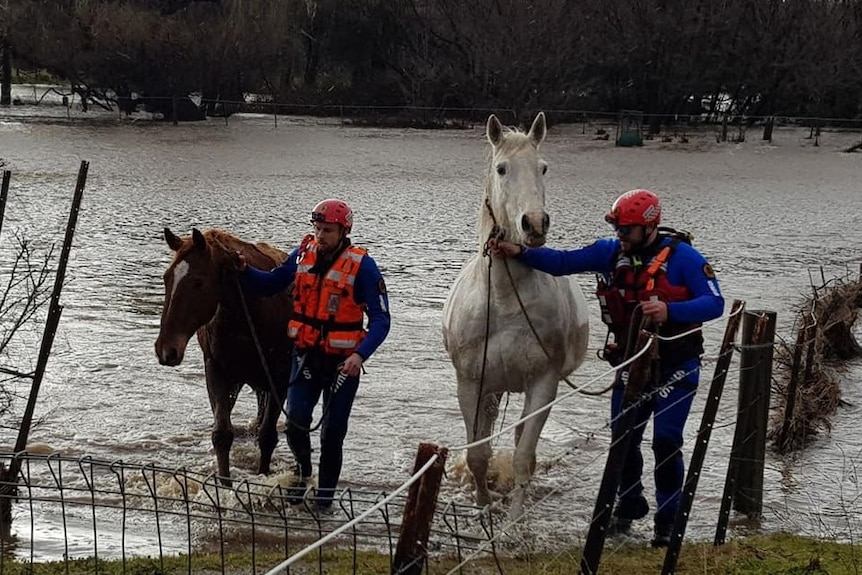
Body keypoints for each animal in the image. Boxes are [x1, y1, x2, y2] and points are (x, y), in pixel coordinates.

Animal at [154, 227, 292, 484]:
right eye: (166, 278)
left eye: (198, 282)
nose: (166, 349)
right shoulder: (217, 371)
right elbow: (222, 434)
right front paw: (225, 483)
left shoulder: (280, 378)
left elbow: (267, 436)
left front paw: (263, 474)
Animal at [442, 111, 592, 516]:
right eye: (502, 168)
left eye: (543, 167)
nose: (534, 224)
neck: (505, 300)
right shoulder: (471, 385)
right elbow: (477, 455)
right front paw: (483, 506)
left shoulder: (543, 383)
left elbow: (525, 457)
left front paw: (513, 522)